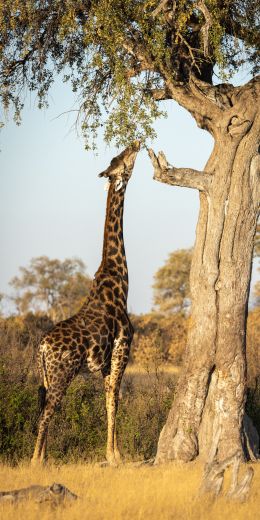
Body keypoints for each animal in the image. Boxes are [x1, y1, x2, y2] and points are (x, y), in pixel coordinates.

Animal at [31, 141, 140, 468]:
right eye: (123, 160)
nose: (135, 142)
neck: (119, 281)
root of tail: (42, 348)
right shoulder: (121, 350)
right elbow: (114, 400)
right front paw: (115, 456)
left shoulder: (105, 363)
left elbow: (109, 400)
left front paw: (112, 453)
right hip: (62, 374)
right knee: (45, 414)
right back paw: (36, 462)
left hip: (46, 376)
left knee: (43, 408)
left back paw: (42, 458)